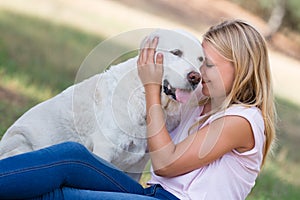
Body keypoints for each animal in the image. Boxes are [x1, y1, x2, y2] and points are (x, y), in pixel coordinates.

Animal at [0, 28, 204, 180]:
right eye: (176, 53)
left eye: (201, 60)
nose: (196, 77)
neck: (144, 96)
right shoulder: (105, 149)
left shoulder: (138, 164)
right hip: (20, 143)